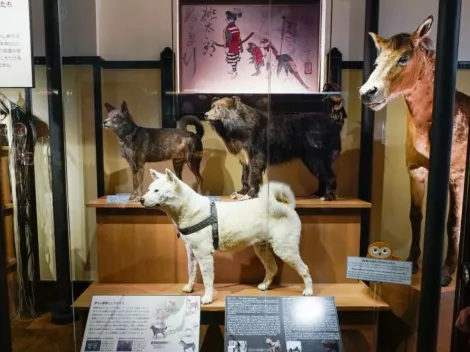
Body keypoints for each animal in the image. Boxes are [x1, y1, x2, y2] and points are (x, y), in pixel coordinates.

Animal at [141, 167, 314, 302]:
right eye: (149, 189)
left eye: (156, 190)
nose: (141, 199)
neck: (189, 209)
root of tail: (286, 206)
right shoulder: (191, 252)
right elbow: (191, 272)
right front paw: (190, 288)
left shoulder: (204, 255)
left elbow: (207, 279)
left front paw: (207, 298)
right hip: (262, 248)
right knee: (273, 268)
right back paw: (264, 285)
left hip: (285, 249)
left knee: (305, 269)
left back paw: (309, 291)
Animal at [360, 15, 470, 288]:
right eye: (376, 62)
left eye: (403, 58)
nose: (367, 93)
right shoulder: (416, 172)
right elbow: (415, 216)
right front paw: (412, 263)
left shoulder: (457, 177)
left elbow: (452, 223)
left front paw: (446, 273)